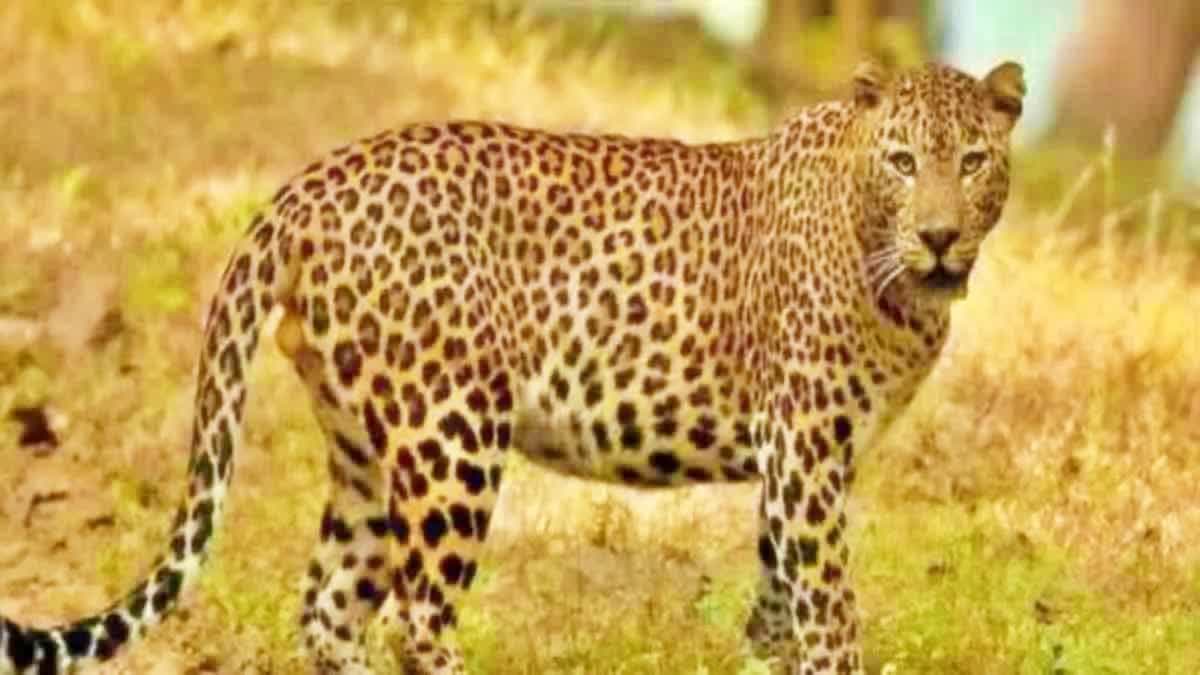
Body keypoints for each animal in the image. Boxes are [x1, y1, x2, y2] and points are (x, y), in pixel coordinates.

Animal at [2, 59, 1022, 672]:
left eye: (974, 161)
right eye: (902, 160)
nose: (939, 235)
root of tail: (307, 187)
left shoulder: (798, 465)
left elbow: (777, 608)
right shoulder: (805, 451)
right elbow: (829, 611)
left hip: (365, 448)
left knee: (329, 606)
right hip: (450, 433)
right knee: (417, 615)